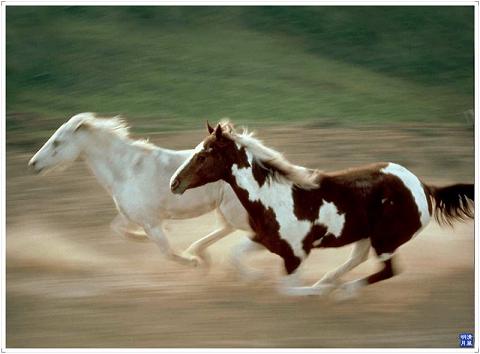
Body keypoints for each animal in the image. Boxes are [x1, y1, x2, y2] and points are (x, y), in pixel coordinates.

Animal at [28, 112, 264, 270]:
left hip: (235, 211)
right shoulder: (131, 215)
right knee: (226, 229)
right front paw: (144, 238)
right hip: (225, 209)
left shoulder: (151, 222)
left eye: (57, 142)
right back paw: (200, 251)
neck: (125, 170)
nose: (33, 164)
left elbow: (166, 251)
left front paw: (193, 262)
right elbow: (118, 229)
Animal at [170, 123, 472, 298]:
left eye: (203, 155)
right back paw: (328, 283)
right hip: (367, 236)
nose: (175, 183)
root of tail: (424, 186)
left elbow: (287, 290)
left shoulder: (296, 255)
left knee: (388, 270)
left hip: (386, 239)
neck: (273, 197)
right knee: (358, 258)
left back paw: (341, 290)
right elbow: (235, 256)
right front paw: (254, 278)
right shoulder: (266, 241)